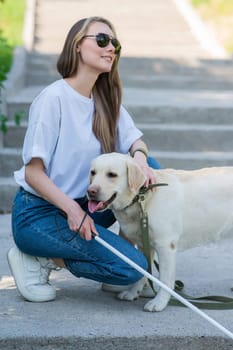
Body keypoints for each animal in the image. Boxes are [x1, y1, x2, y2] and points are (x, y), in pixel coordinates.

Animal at [88, 153, 233, 312]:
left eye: (112, 174)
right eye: (93, 172)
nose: (90, 191)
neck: (143, 200)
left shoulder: (166, 246)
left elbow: (165, 280)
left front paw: (159, 302)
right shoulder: (144, 244)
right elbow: (143, 272)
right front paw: (133, 293)